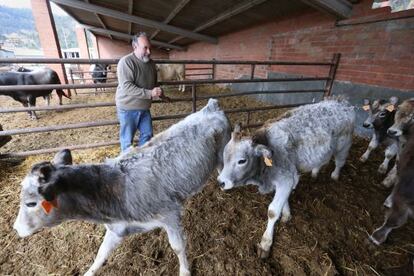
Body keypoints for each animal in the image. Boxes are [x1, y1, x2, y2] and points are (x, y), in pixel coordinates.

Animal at [12, 99, 231, 276]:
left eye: (31, 203)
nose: (16, 228)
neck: (114, 192)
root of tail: (211, 106)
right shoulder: (117, 228)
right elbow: (101, 254)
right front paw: (89, 271)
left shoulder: (170, 215)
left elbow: (177, 247)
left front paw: (185, 271)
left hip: (223, 154)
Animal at [217, 98, 356, 258]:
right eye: (224, 155)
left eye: (241, 161)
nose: (220, 182)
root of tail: (341, 102)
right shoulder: (287, 180)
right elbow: (284, 201)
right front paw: (287, 215)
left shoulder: (286, 179)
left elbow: (272, 211)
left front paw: (265, 244)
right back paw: (315, 172)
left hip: (344, 146)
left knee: (340, 162)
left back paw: (335, 175)